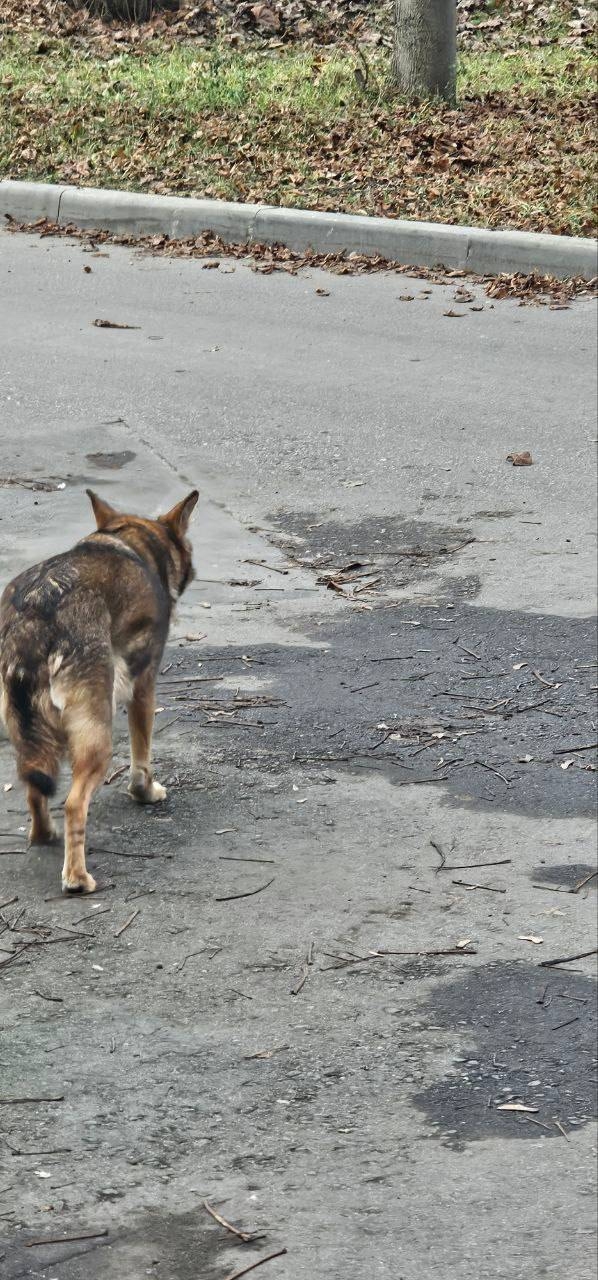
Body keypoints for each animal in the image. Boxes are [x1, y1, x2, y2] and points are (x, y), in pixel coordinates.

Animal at [0, 488, 198, 893]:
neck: (128, 540)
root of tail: (33, 618)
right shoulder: (144, 688)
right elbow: (142, 759)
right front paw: (145, 793)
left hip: (27, 737)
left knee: (34, 788)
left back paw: (43, 835)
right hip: (98, 736)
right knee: (74, 804)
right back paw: (78, 879)